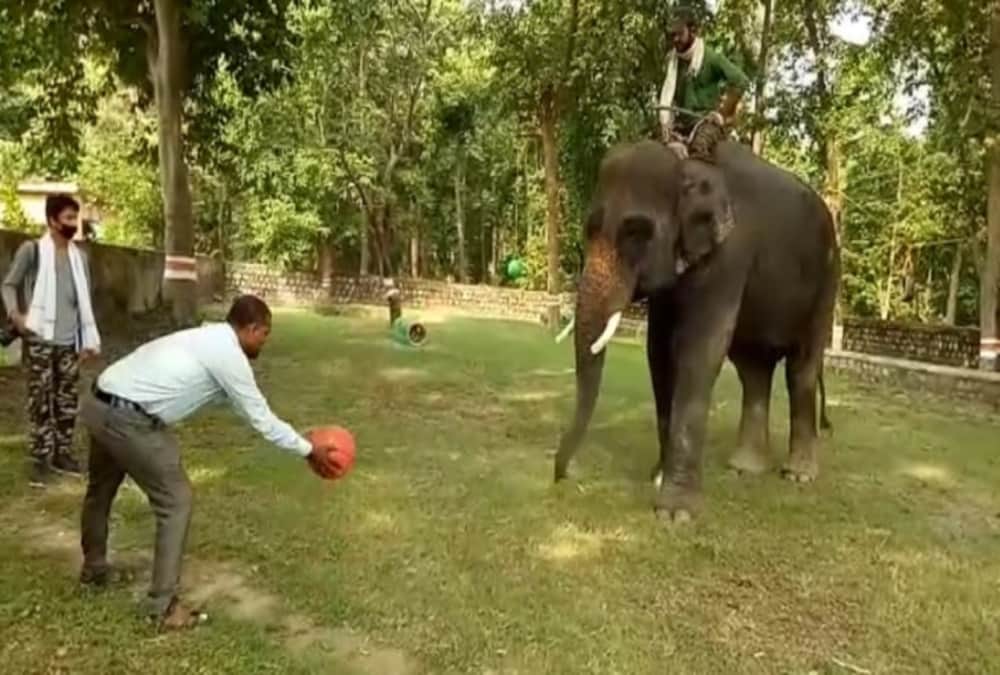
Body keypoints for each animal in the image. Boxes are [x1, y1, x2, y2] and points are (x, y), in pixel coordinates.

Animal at [553, 138, 840, 522]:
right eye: (589, 230)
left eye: (636, 233)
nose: (563, 476)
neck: (687, 162)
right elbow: (659, 352)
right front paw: (658, 477)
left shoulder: (729, 254)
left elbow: (698, 349)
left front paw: (674, 513)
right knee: (754, 370)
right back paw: (744, 468)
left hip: (827, 281)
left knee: (801, 368)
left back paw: (798, 475)